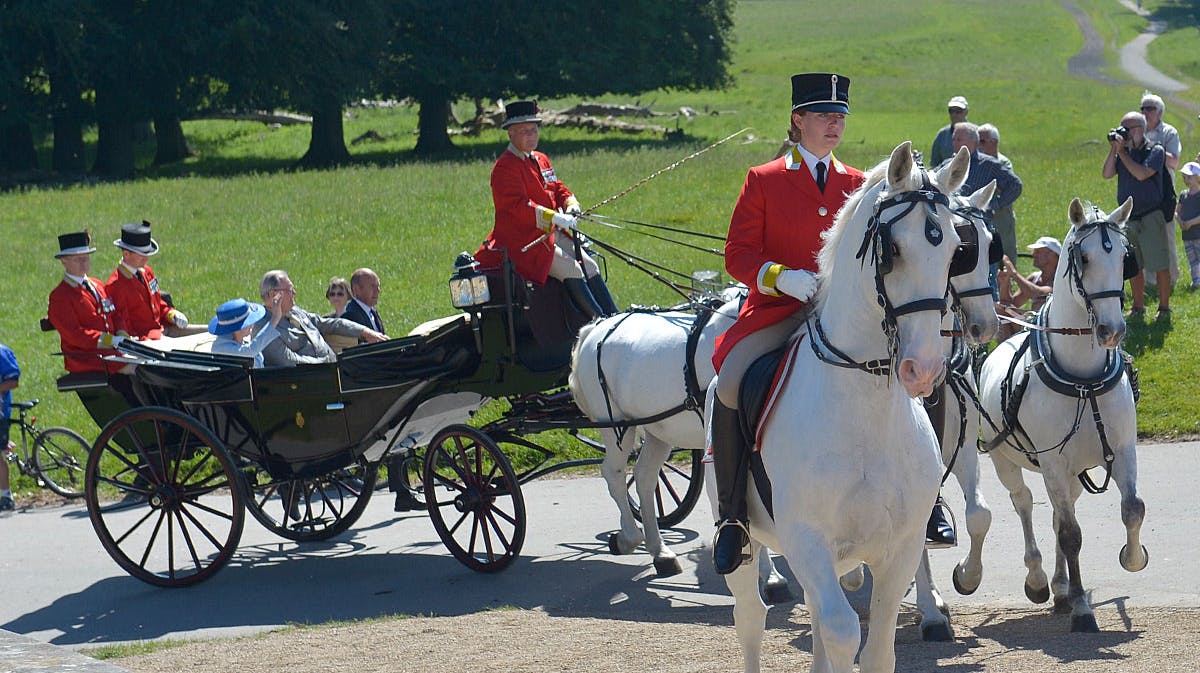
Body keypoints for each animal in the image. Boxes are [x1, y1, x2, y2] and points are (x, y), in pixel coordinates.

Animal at [705, 142, 969, 671]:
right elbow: (844, 630)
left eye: (955, 251)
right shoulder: (807, 538)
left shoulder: (900, 549)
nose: (924, 369)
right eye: (892, 251)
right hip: (747, 543)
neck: (864, 409)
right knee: (752, 618)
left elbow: (878, 647)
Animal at [979, 196, 1147, 633]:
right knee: (1024, 502)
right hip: (1007, 460)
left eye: (1125, 258)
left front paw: (1132, 558)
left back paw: (1059, 586)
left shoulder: (1123, 448)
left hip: (1072, 472)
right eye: (1084, 258)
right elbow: (1071, 534)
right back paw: (1040, 580)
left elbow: (1132, 509)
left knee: (1058, 511)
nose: (1112, 330)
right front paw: (1083, 610)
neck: (1083, 380)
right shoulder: (1053, 460)